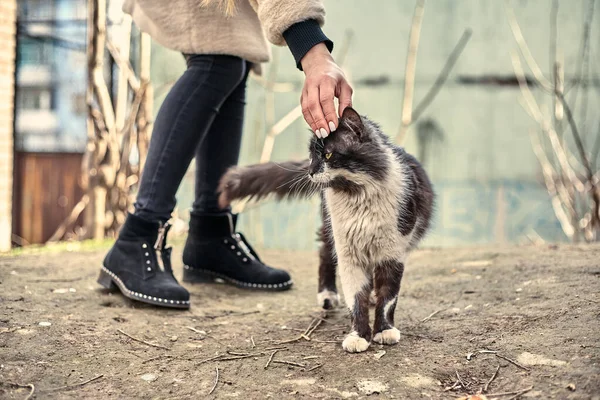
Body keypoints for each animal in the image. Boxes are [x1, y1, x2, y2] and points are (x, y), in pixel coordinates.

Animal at [218, 107, 434, 354]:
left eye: (328, 155)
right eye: (312, 155)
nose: (311, 172)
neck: (357, 196)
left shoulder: (393, 253)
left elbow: (388, 297)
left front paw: (384, 330)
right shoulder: (348, 253)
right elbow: (356, 298)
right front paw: (359, 336)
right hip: (330, 229)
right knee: (324, 255)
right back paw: (328, 295)